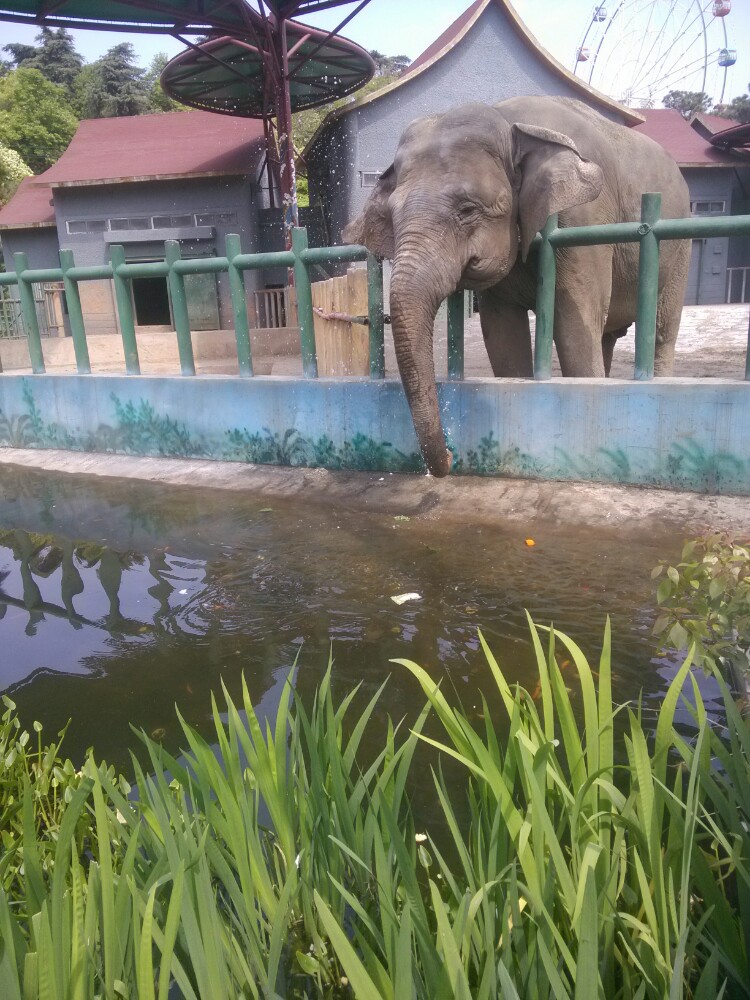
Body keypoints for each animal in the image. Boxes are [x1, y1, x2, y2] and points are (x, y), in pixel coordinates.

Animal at [344, 95, 692, 478]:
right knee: (607, 337)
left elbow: (575, 324)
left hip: (680, 246)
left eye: (467, 209)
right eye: (392, 217)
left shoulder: (584, 220)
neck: (508, 121)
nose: (449, 456)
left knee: (662, 328)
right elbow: (502, 332)